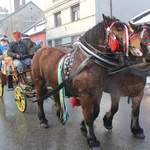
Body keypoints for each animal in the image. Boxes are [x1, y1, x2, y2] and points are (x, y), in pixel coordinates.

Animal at [31, 14, 145, 149]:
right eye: (118, 29)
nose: (141, 44)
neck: (89, 61)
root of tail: (40, 50)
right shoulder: (86, 95)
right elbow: (89, 117)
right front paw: (92, 139)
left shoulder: (98, 92)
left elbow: (95, 112)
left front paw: (86, 130)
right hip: (39, 82)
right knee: (40, 100)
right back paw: (42, 120)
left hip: (54, 83)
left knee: (56, 97)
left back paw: (59, 115)